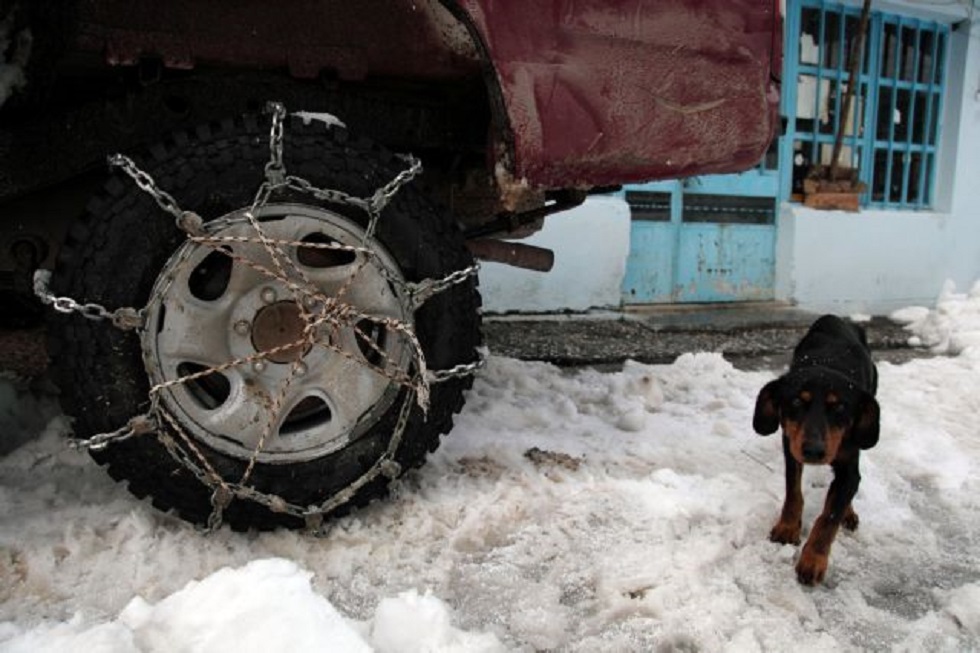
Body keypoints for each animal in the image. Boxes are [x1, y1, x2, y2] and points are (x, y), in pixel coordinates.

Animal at [756, 314, 884, 584]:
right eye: (796, 401)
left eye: (840, 407)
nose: (814, 451)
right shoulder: (791, 447)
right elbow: (793, 491)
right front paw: (787, 527)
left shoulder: (848, 463)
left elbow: (829, 515)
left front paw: (813, 560)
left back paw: (848, 513)